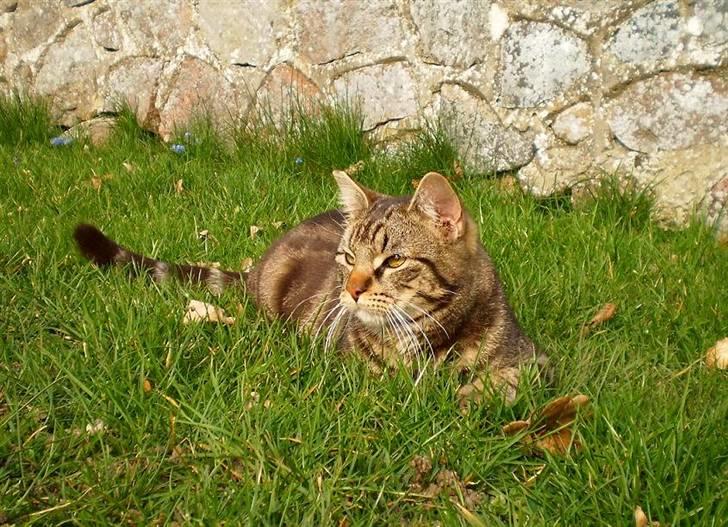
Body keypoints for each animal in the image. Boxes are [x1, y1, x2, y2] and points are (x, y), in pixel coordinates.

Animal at [75, 171, 552, 406]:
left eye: (394, 260)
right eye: (348, 258)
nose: (352, 291)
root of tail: (257, 265)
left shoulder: (537, 362)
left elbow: (508, 381)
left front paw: (471, 394)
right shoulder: (354, 372)